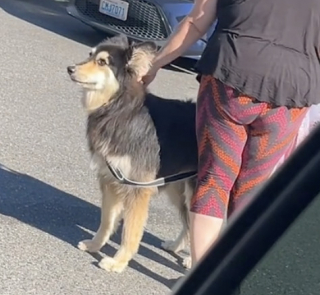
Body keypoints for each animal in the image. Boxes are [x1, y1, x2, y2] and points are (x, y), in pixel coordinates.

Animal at [67, 33, 198, 274]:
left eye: (102, 62)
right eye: (90, 55)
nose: (70, 68)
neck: (118, 109)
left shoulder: (138, 189)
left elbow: (130, 233)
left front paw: (118, 262)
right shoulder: (110, 180)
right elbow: (107, 220)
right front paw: (95, 245)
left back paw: (192, 260)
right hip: (178, 189)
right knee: (188, 223)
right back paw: (176, 246)